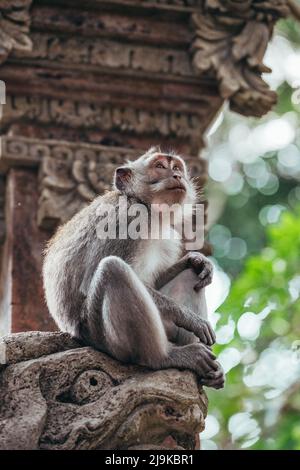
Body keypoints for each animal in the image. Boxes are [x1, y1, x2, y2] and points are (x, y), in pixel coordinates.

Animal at [43, 148, 224, 390]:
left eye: (176, 167)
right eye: (159, 166)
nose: (177, 176)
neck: (147, 208)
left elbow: (155, 280)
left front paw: (196, 260)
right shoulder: (125, 221)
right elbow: (91, 280)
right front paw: (189, 318)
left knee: (190, 276)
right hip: (102, 337)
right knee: (113, 270)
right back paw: (165, 357)